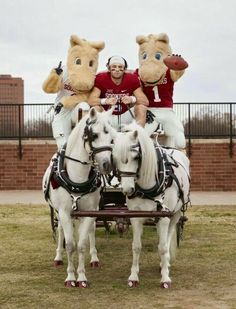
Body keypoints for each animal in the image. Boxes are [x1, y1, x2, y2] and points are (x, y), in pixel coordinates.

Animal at [43, 107, 116, 286]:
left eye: (112, 137)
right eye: (94, 135)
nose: (107, 165)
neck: (77, 178)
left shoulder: (89, 212)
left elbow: (82, 244)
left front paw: (81, 277)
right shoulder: (64, 212)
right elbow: (70, 245)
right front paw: (70, 277)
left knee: (91, 231)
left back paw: (94, 258)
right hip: (59, 213)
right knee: (61, 230)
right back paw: (58, 257)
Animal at [111, 121, 191, 288]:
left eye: (136, 156)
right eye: (114, 157)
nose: (127, 189)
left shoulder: (164, 217)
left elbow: (163, 247)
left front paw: (165, 277)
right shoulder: (136, 217)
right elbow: (136, 246)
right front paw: (133, 276)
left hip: (175, 214)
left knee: (167, 238)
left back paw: (165, 263)